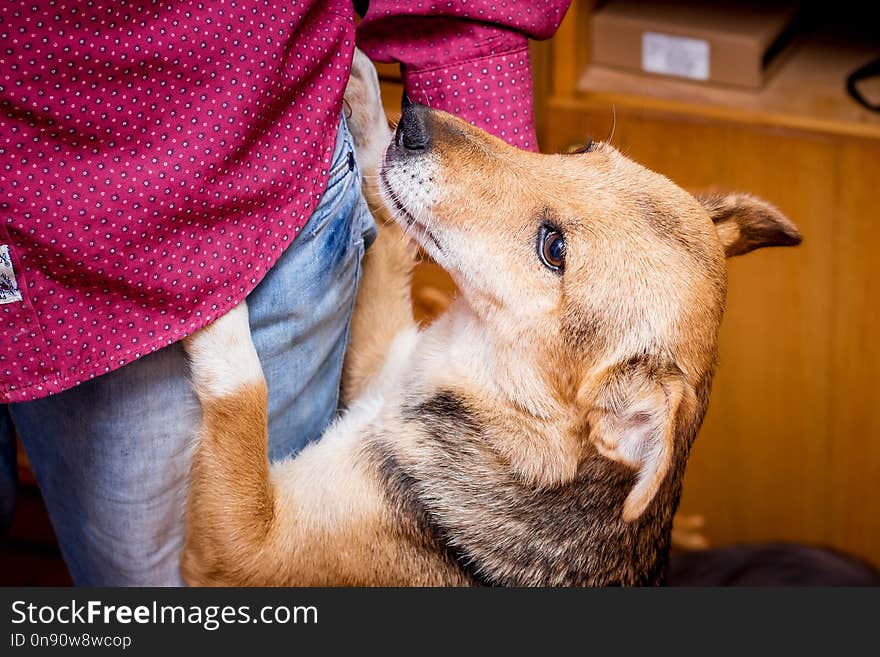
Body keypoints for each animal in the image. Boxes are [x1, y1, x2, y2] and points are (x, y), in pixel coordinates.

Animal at [180, 51, 804, 584]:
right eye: (581, 149)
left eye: (554, 248)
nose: (413, 121)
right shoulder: (375, 361)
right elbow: (390, 231)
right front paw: (366, 102)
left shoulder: (245, 550)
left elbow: (244, 394)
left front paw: (204, 281)